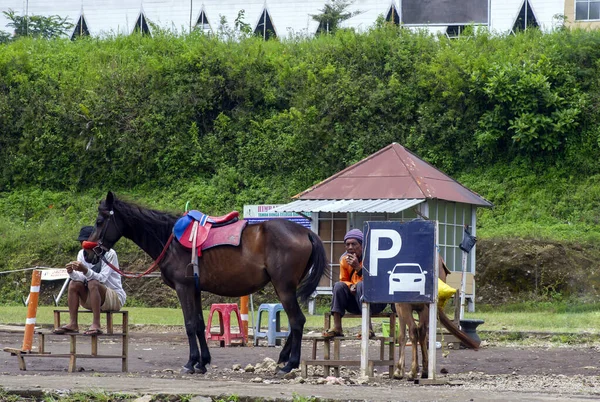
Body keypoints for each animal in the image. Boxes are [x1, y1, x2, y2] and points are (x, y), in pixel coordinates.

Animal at [86, 191, 326, 374]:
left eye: (99, 222)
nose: (88, 254)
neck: (170, 240)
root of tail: (305, 232)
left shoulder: (183, 288)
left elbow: (190, 325)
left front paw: (191, 362)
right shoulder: (195, 289)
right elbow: (200, 325)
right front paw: (202, 362)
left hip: (283, 287)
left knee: (297, 321)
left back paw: (290, 364)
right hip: (287, 287)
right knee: (296, 322)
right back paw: (284, 357)